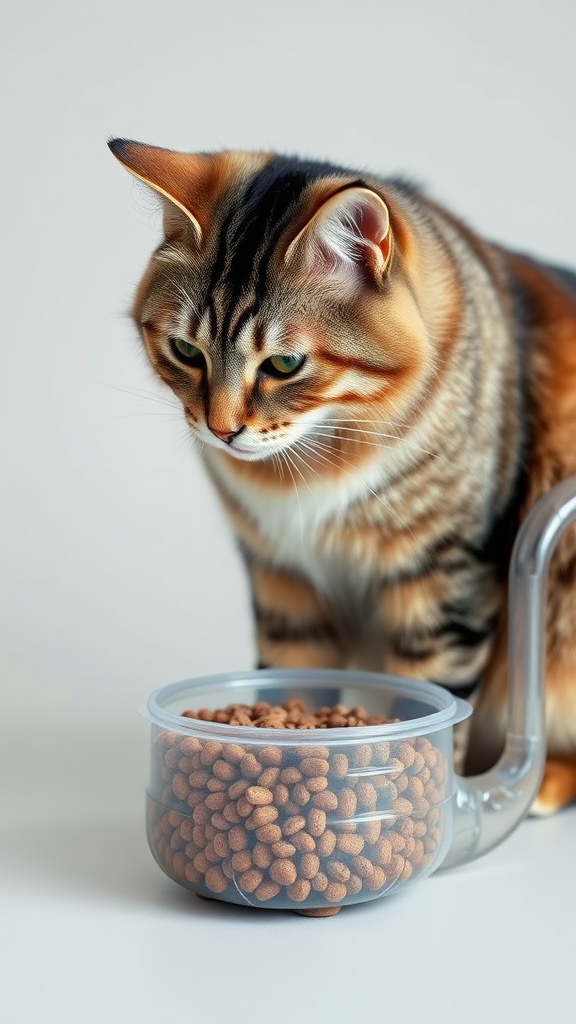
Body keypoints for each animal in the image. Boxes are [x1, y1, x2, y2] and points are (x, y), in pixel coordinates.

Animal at [107, 136, 573, 811]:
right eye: (186, 352)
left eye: (284, 364)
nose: (221, 430)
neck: (312, 462)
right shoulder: (281, 577)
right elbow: (291, 677)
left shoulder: (445, 577)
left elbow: (431, 693)